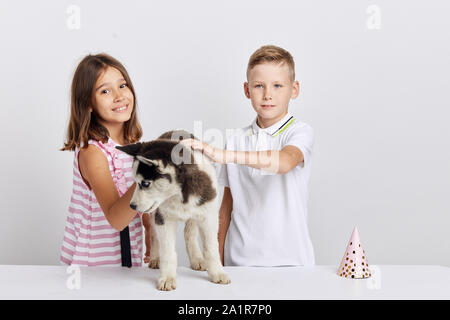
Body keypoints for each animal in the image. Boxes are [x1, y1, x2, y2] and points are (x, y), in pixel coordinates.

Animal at [116, 129, 230, 290]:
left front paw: (217, 273)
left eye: (145, 183)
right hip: (155, 213)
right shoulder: (163, 218)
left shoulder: (208, 215)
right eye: (136, 182)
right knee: (154, 234)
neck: (178, 194)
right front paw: (167, 278)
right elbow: (167, 250)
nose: (132, 206)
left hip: (195, 213)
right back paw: (155, 258)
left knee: (189, 232)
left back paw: (196, 258)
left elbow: (211, 248)